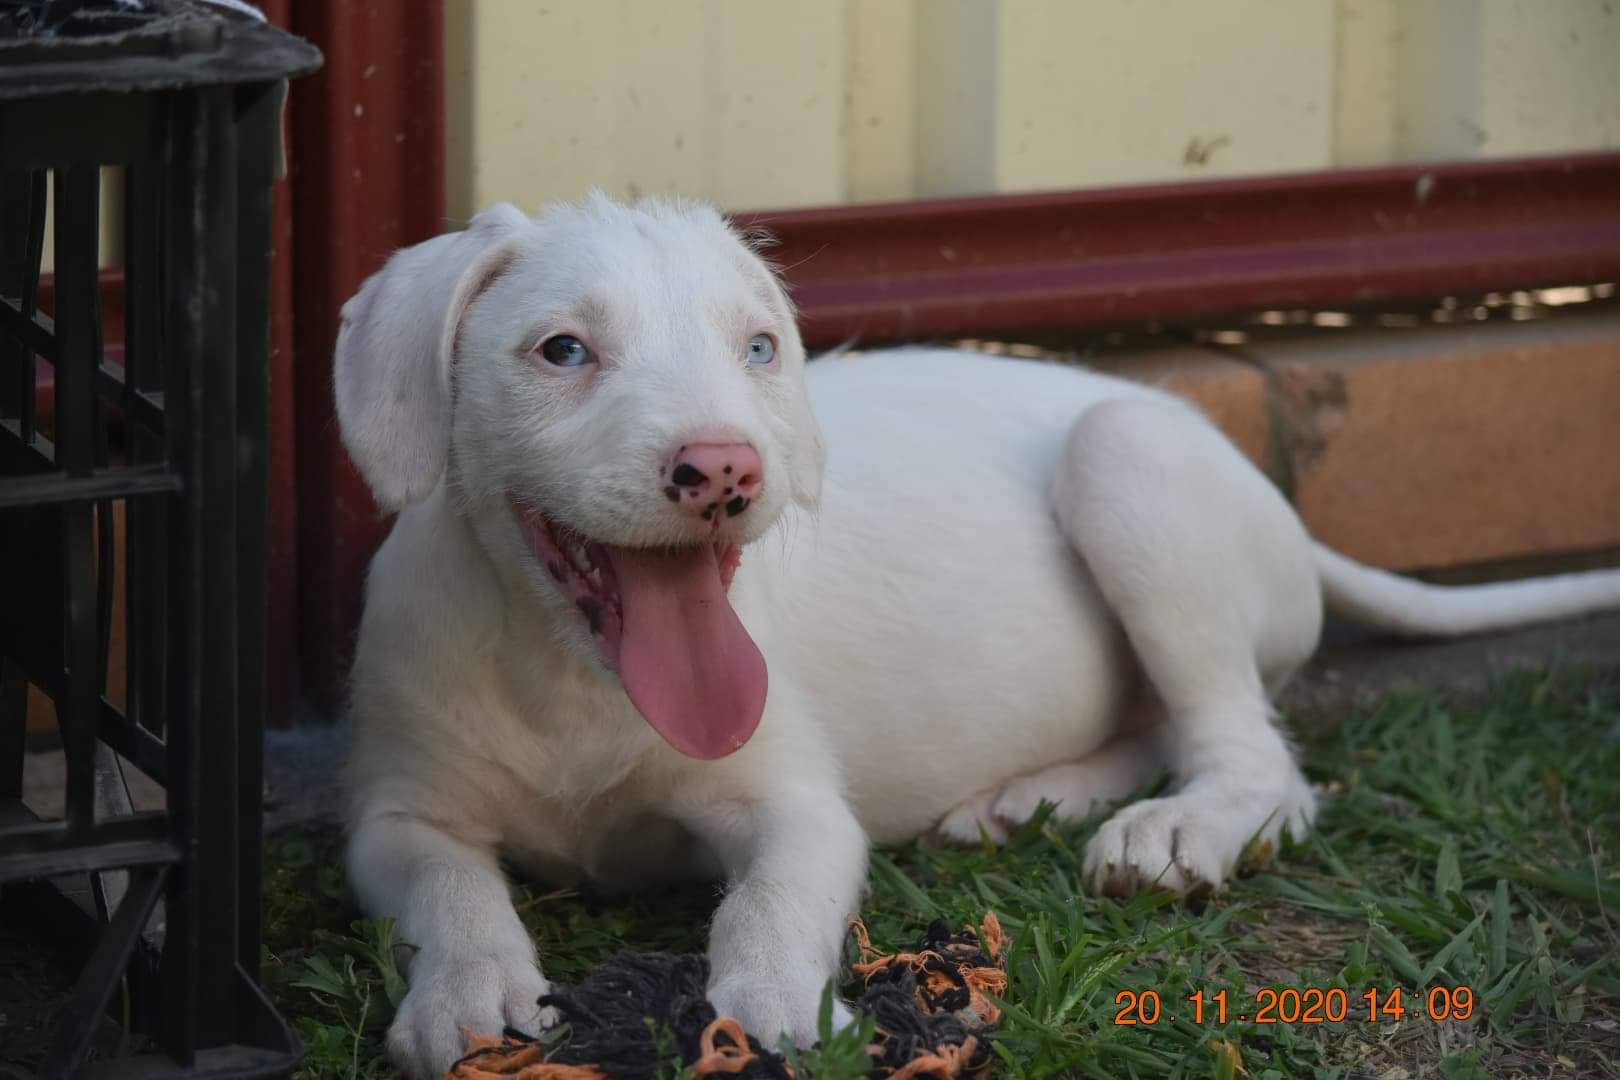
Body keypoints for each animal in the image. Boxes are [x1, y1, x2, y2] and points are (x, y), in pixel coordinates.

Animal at [333, 195, 1620, 1078]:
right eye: (562, 350)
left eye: (759, 349)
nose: (726, 471)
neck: (568, 673)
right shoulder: (397, 815)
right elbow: (450, 886)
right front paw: (468, 992)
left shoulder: (796, 807)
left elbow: (769, 904)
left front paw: (773, 1013)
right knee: (1164, 723)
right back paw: (1026, 797)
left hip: (1127, 459)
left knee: (1257, 757)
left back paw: (1176, 830)